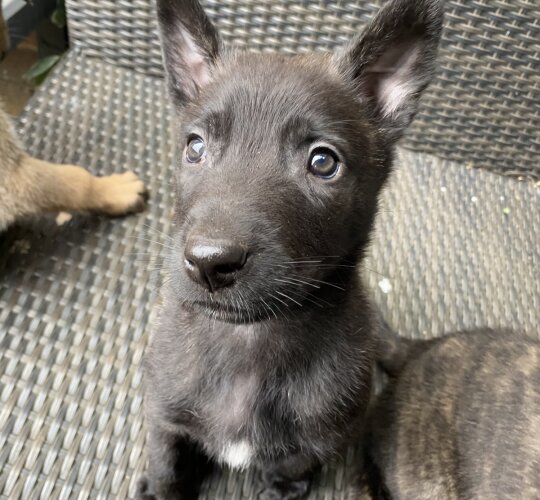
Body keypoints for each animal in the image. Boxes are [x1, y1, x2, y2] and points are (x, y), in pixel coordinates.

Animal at [138, 1, 442, 498]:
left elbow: (293, 462)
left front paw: (282, 485)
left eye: (323, 162)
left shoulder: (326, 434)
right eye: (194, 147)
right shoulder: (163, 414)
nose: (209, 263)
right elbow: (166, 466)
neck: (249, 344)